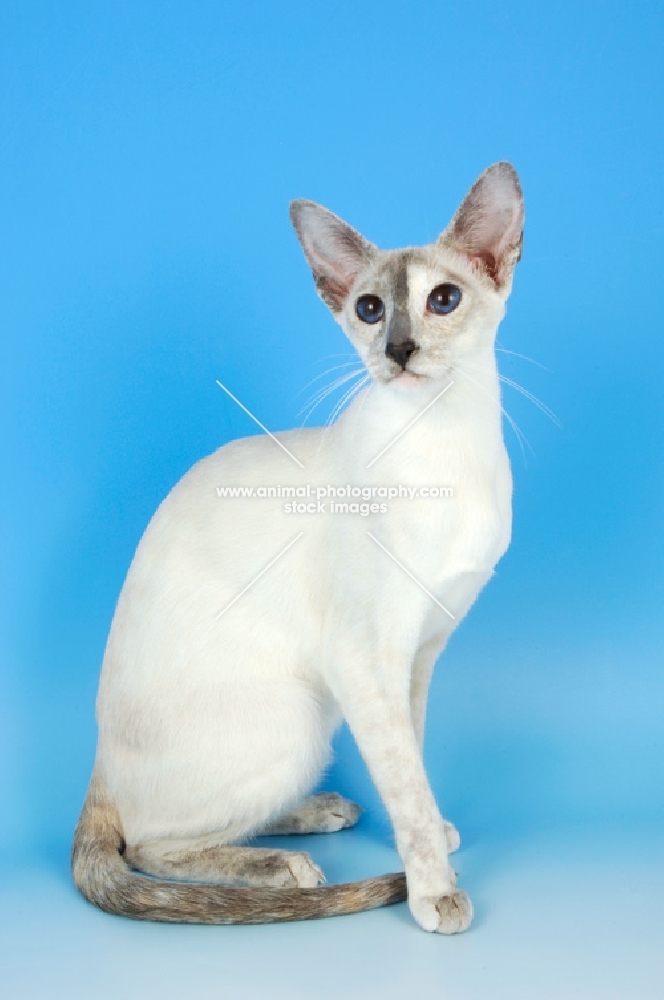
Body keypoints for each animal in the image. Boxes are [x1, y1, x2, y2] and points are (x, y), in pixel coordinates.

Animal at [72, 160, 528, 932]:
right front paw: (432, 888)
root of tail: (97, 762)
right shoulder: (366, 658)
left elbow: (411, 765)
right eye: (370, 310)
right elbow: (404, 783)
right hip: (299, 720)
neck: (445, 443)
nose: (397, 350)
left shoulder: (420, 653)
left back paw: (320, 812)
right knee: (150, 841)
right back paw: (288, 867)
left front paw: (432, 837)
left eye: (442, 300)